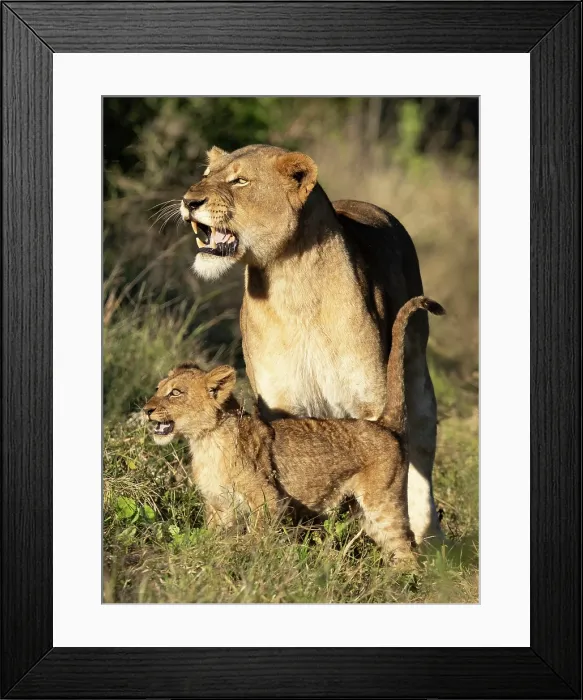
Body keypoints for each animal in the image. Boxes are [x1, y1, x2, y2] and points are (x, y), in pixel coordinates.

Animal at [144, 297, 444, 561]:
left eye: (175, 393)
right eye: (157, 389)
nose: (146, 409)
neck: (205, 442)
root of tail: (384, 424)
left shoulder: (268, 499)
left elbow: (256, 537)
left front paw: (245, 557)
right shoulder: (220, 507)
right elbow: (212, 538)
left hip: (382, 501)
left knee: (407, 548)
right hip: (362, 510)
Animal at [179, 144, 444, 544]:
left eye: (240, 181)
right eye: (207, 175)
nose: (189, 201)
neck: (292, 285)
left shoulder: (370, 400)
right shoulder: (280, 404)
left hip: (415, 374)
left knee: (421, 454)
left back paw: (430, 536)